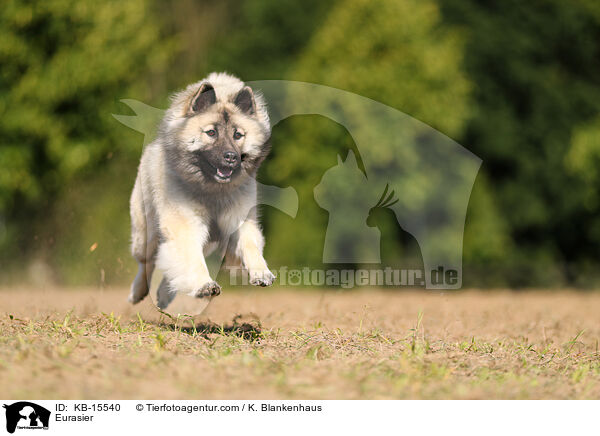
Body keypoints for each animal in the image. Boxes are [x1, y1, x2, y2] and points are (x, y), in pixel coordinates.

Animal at [130, 72, 276, 310]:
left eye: (238, 135)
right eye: (211, 132)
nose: (231, 157)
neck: (213, 190)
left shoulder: (238, 222)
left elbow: (250, 245)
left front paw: (261, 272)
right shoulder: (185, 225)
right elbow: (191, 259)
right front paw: (204, 285)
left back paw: (164, 295)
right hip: (146, 234)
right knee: (147, 263)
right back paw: (138, 292)